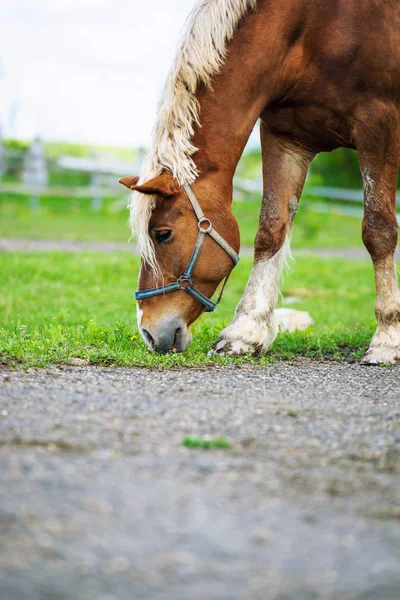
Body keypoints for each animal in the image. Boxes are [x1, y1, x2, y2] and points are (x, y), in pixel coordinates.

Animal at [120, 0, 400, 364]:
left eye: (162, 234)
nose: (148, 332)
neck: (317, 25)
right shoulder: (286, 136)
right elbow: (271, 230)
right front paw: (245, 331)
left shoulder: (379, 124)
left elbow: (378, 231)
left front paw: (387, 338)